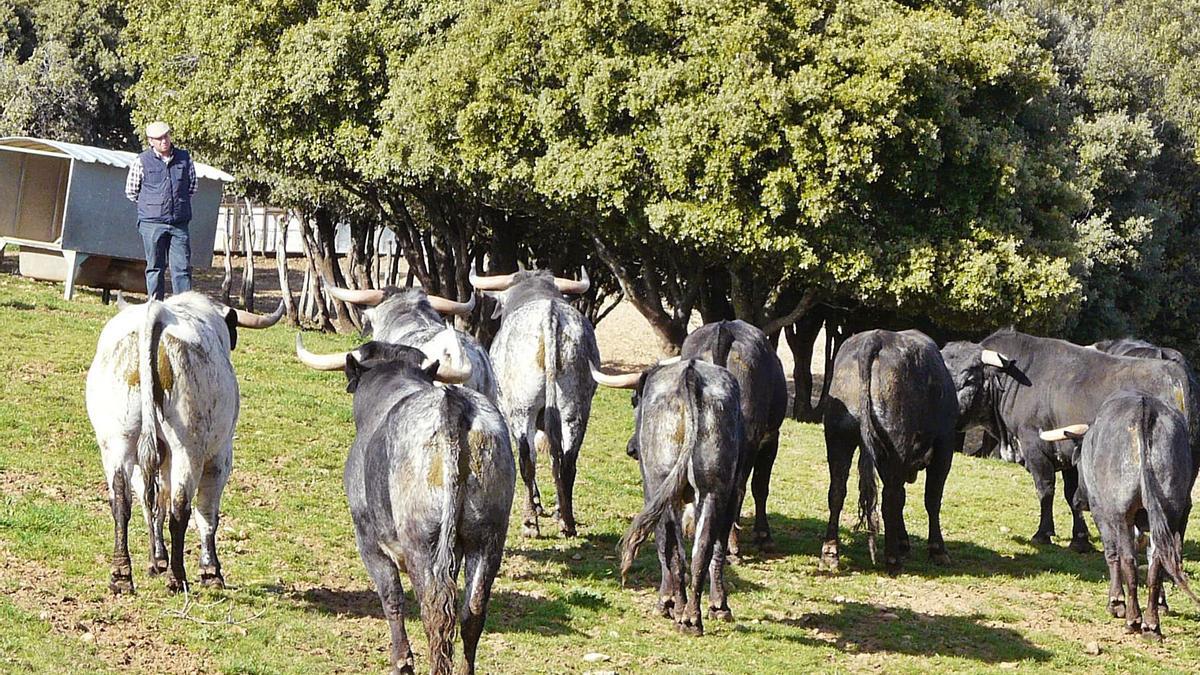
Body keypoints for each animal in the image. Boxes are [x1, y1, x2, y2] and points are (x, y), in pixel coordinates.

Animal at [297, 338, 513, 672]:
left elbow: (392, 597)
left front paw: (402, 661)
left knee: (433, 612)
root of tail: (453, 404)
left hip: (422, 544)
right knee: (472, 612)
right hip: (489, 539)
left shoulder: (369, 541)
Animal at [470, 265, 597, 533]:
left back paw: (530, 521)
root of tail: (550, 314)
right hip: (576, 410)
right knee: (567, 460)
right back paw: (566, 520)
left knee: (527, 460)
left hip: (522, 410)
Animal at [588, 360, 744, 634]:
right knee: (702, 550)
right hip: (713, 490)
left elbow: (663, 547)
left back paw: (680, 611)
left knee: (674, 551)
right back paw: (693, 618)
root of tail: (691, 374)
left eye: (634, 399)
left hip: (661, 485)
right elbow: (717, 547)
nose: (631, 449)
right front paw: (719, 606)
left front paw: (667, 601)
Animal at [940, 326, 1195, 552]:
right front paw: (1079, 539)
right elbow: (1071, 495)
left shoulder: (1035, 446)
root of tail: (1175, 373)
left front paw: (1043, 533)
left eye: (969, 378)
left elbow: (1045, 490)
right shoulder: (1069, 452)